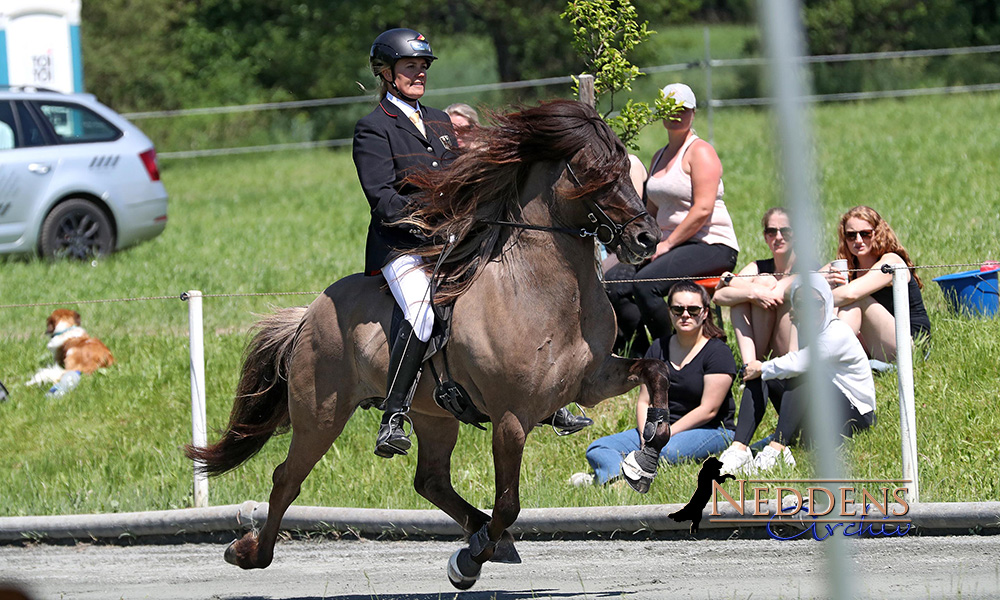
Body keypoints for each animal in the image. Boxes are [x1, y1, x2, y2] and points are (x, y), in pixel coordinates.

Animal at [186, 99, 672, 592]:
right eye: (594, 172)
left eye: (628, 168)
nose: (647, 238)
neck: (543, 289)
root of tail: (310, 311)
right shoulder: (511, 417)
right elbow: (509, 503)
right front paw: (468, 562)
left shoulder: (592, 381)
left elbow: (656, 372)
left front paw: (644, 460)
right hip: (320, 414)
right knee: (288, 477)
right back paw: (249, 552)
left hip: (432, 413)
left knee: (430, 480)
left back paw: (487, 537)